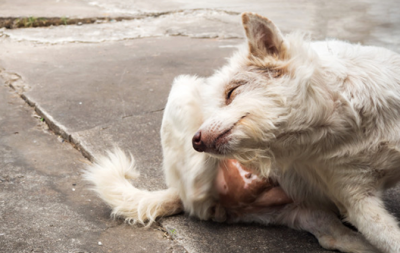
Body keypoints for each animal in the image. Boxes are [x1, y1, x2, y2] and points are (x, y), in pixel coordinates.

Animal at [83, 13, 398, 253]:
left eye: (232, 92)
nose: (196, 141)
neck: (347, 128)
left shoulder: (361, 204)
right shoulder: (358, 201)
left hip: (307, 214)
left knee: (336, 237)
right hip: (184, 89)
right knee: (195, 187)